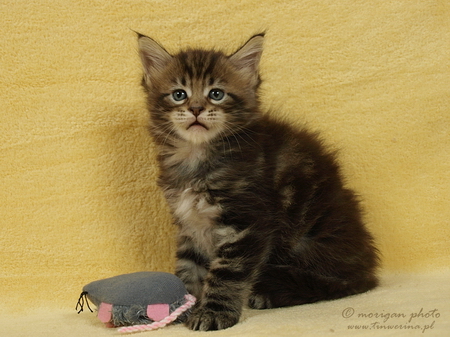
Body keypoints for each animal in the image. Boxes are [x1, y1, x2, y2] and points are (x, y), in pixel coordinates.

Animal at [137, 32, 380, 330]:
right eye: (179, 94)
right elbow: (189, 265)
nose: (195, 109)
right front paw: (183, 305)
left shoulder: (247, 222)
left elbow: (227, 274)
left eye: (216, 94)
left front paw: (213, 312)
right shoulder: (190, 224)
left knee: (349, 282)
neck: (197, 156)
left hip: (313, 241)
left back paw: (269, 293)